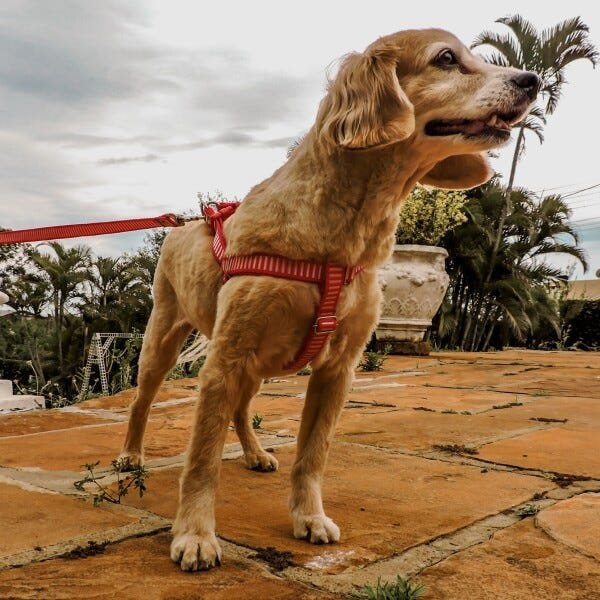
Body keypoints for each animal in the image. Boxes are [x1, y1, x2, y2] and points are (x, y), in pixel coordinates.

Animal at [118, 29, 540, 572]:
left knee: (241, 409)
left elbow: (312, 455)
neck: (342, 238)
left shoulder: (336, 369)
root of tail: (181, 225)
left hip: (257, 365)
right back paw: (131, 455)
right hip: (164, 341)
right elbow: (202, 459)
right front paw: (194, 534)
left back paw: (254, 453)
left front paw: (309, 516)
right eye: (447, 58)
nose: (532, 80)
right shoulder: (225, 360)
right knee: (142, 401)